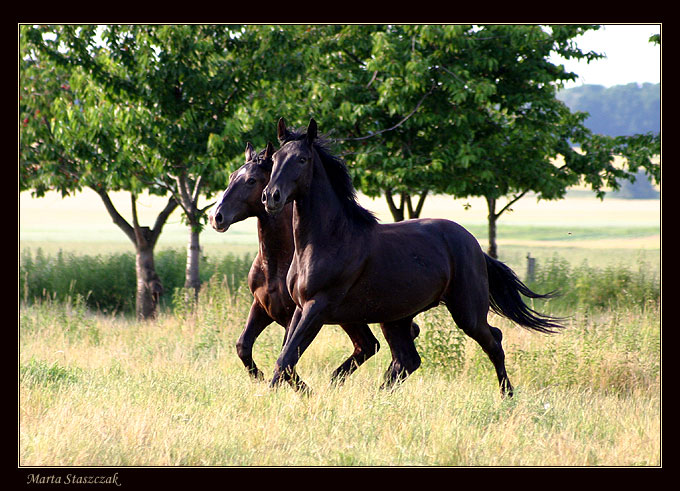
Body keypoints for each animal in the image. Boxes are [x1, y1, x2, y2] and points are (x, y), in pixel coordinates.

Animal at [262, 120, 564, 400]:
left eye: (302, 159)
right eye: (274, 158)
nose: (270, 196)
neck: (329, 239)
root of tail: (474, 245)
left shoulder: (318, 306)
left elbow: (285, 359)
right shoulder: (301, 307)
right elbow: (287, 357)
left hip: (467, 312)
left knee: (494, 341)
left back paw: (507, 395)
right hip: (396, 317)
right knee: (407, 360)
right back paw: (378, 398)